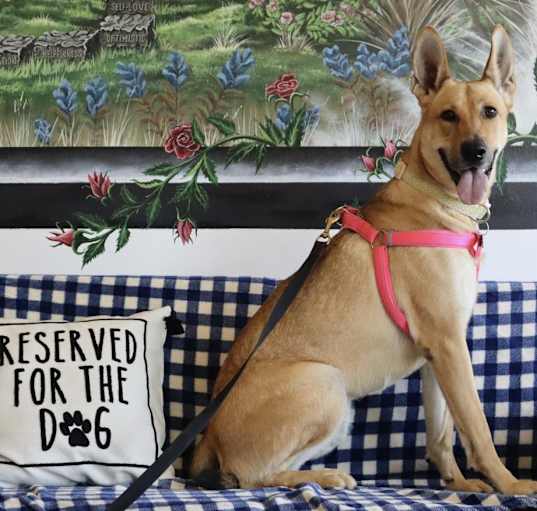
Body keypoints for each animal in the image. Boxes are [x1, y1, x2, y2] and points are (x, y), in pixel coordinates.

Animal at [189, 25, 536, 496]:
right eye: (448, 115)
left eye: (490, 112)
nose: (476, 151)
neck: (435, 200)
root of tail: (207, 434)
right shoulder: (448, 343)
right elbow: (477, 426)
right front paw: (509, 484)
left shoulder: (438, 353)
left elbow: (442, 434)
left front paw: (459, 483)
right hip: (325, 382)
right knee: (251, 476)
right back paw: (324, 476)